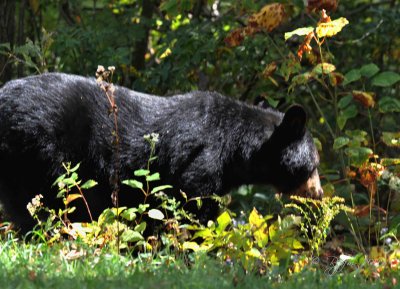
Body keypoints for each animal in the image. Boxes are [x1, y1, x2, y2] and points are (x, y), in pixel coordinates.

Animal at [0, 73, 322, 231]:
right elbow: (193, 206)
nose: (318, 192)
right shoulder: (201, 162)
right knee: (45, 199)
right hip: (40, 147)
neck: (235, 150)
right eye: (313, 164)